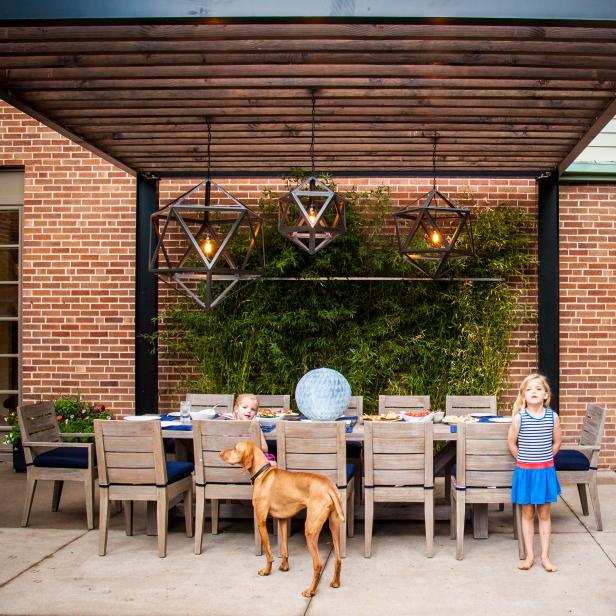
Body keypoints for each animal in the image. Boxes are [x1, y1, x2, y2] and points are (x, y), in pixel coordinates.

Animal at [220, 440, 344, 596]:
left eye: (235, 449)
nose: (220, 453)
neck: (262, 473)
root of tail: (329, 486)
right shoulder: (283, 520)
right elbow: (284, 548)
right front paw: (284, 566)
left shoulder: (261, 521)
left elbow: (268, 553)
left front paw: (267, 571)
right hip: (335, 527)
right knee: (338, 559)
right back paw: (335, 583)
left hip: (310, 531)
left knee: (318, 564)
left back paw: (310, 590)